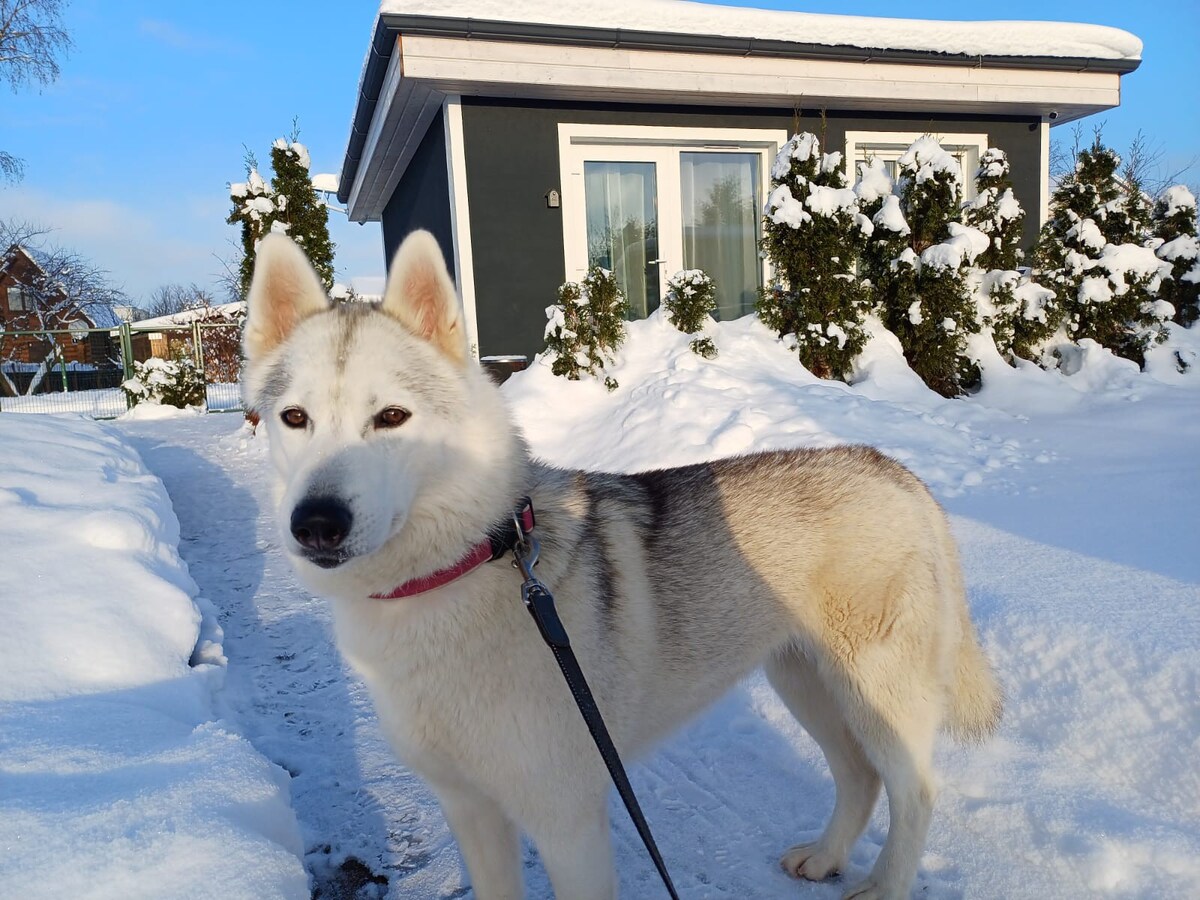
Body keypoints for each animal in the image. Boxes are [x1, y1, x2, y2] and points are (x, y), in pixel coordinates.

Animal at [243, 230, 1003, 900]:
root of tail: (896, 471)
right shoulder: (471, 810)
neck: (454, 572)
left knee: (914, 791)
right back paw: (824, 858)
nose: (316, 522)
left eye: (392, 417)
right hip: (801, 678)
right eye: (295, 418)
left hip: (875, 690)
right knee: (858, 777)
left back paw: (886, 885)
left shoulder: (567, 821)